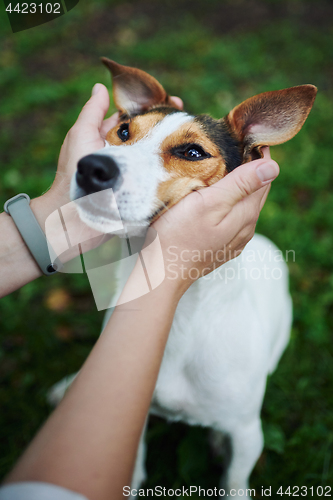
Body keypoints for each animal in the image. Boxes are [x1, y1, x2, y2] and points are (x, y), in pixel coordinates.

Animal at [50, 60, 316, 498]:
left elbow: (235, 481)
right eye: (123, 131)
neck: (178, 315)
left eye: (192, 152)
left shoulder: (249, 433)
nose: (91, 167)